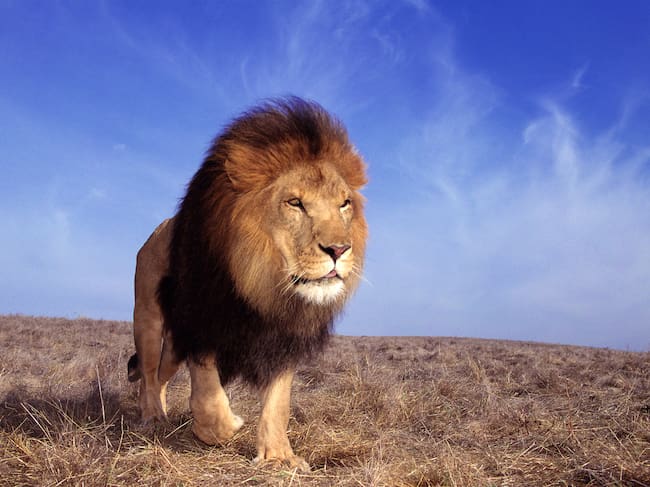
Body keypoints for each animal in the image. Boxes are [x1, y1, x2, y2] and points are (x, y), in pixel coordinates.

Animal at [127, 97, 367, 471]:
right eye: (295, 203)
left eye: (344, 204)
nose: (340, 250)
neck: (261, 282)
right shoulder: (200, 320)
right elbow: (207, 392)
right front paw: (219, 429)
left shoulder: (284, 337)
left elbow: (279, 403)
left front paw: (278, 456)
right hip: (149, 321)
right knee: (149, 373)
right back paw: (151, 417)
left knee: (161, 376)